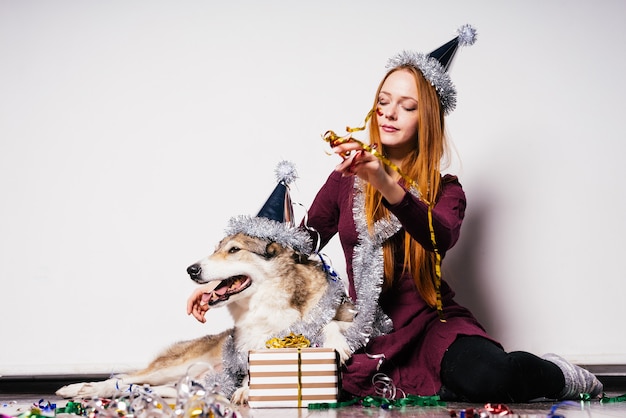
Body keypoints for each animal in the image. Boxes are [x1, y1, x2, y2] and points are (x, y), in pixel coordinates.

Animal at [56, 227, 354, 404]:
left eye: (234, 250)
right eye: (215, 249)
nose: (191, 269)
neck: (266, 304)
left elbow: (332, 322)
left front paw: (337, 344)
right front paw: (247, 388)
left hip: (183, 382)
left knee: (143, 386)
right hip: (173, 367)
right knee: (123, 379)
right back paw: (79, 389)